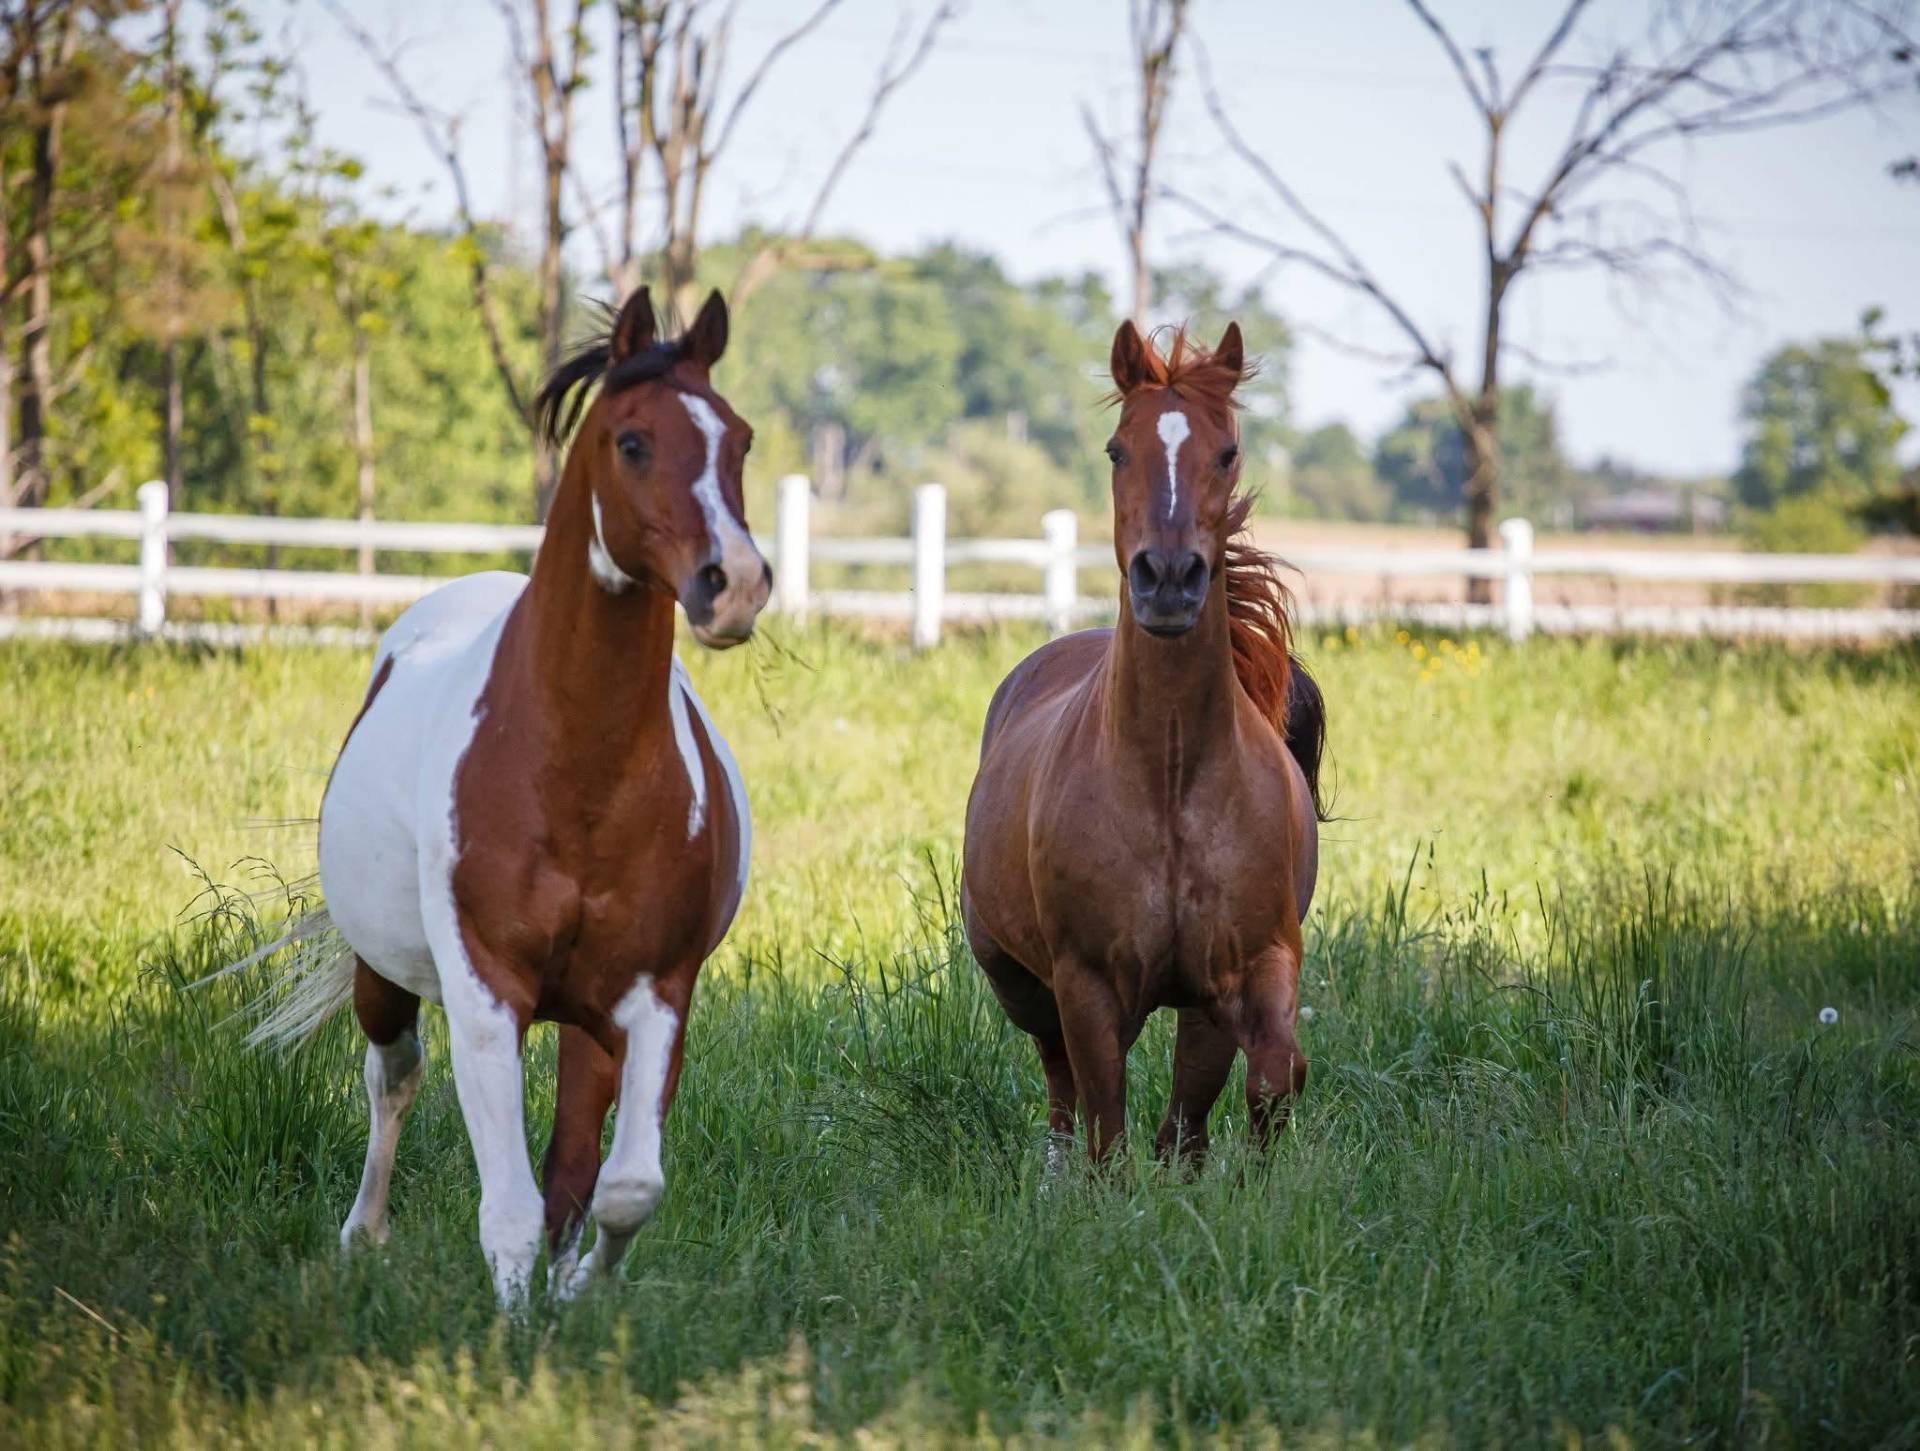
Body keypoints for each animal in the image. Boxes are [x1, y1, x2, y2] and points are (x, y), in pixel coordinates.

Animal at [239, 287, 771, 1305]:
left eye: (741, 439)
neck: (577, 775)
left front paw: (577, 1296)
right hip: (386, 978)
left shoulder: (655, 998)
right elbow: (513, 1211)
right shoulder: (486, 993)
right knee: (392, 1076)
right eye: (633, 441)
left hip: (587, 1025)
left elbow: (620, 1187)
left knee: (575, 1162)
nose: (734, 584)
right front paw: (514, 1328)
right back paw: (363, 1234)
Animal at [960, 319, 1328, 1169]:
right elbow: (1105, 1123)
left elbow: (1266, 1080)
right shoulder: (1088, 982)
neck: (1168, 782)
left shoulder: (1250, 965)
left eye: (1227, 451)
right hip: (1016, 977)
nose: (1167, 578)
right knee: (1059, 1077)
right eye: (1115, 450)